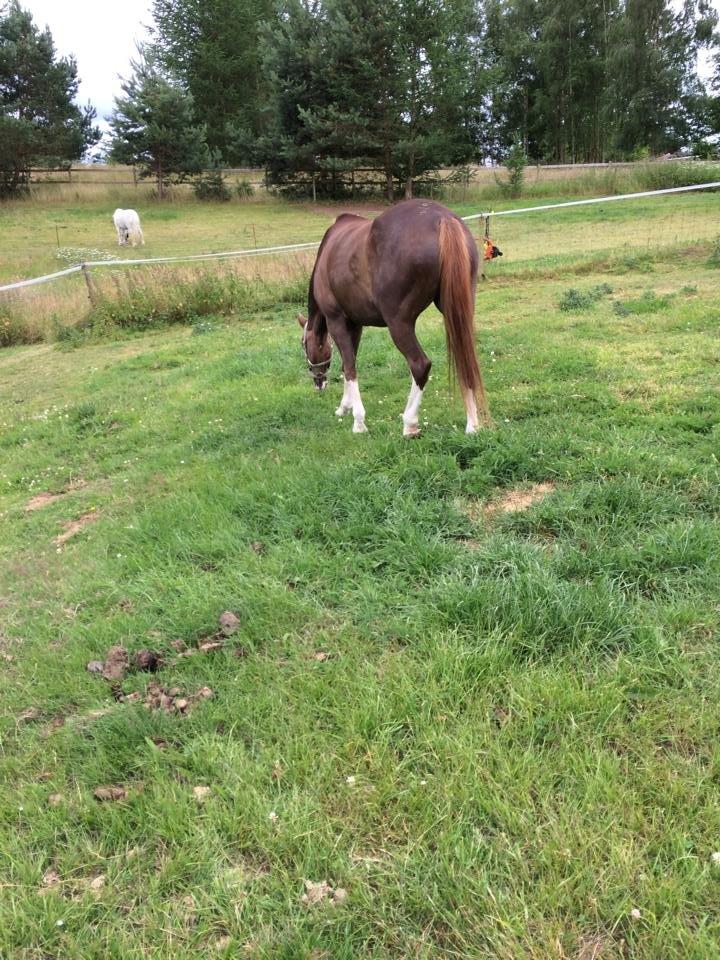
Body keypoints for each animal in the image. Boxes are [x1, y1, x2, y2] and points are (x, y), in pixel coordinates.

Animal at [298, 198, 490, 436]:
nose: (318, 383)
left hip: (399, 324)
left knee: (420, 365)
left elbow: (349, 367)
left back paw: (410, 423)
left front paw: (358, 421)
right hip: (458, 314)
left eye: (304, 345)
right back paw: (472, 425)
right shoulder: (356, 325)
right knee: (465, 361)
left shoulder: (337, 322)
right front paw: (344, 407)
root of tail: (443, 218)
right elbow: (347, 363)